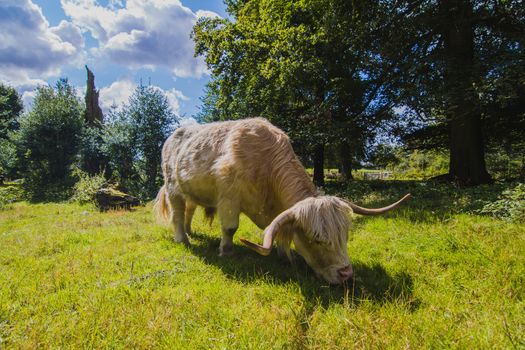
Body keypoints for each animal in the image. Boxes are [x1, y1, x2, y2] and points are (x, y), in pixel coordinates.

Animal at [154, 119, 408, 284]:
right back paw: (183, 238)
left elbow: (280, 231)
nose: (346, 274)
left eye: (344, 236)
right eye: (316, 239)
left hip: (190, 191)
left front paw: (286, 256)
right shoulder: (229, 196)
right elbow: (230, 227)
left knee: (189, 210)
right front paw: (227, 251)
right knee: (178, 214)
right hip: (173, 187)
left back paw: (190, 231)